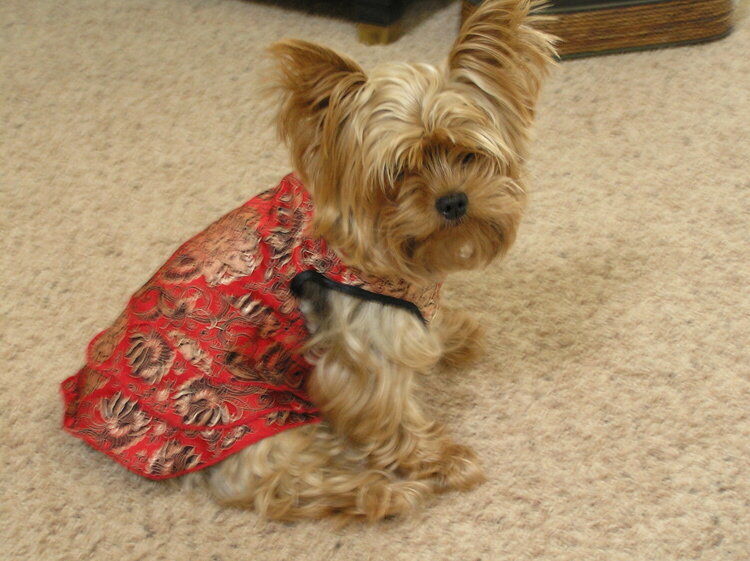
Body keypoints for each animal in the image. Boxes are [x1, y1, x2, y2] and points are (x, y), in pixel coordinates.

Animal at [61, 1, 560, 520]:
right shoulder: (362, 352)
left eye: (468, 155)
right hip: (249, 416)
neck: (377, 246)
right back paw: (385, 493)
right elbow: (391, 414)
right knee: (285, 485)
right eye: (399, 174)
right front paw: (440, 461)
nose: (453, 201)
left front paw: (455, 333)